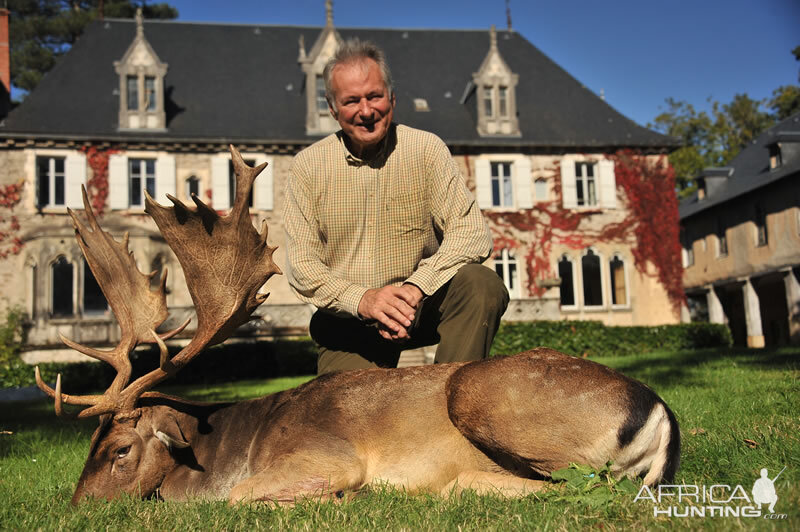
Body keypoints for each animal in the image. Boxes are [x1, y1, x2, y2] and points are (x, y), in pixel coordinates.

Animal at [34, 144, 680, 502]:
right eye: (89, 445)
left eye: (120, 449)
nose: (77, 510)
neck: (233, 446)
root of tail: (660, 413)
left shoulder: (326, 455)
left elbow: (242, 496)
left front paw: (337, 501)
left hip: (484, 395)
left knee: (582, 486)